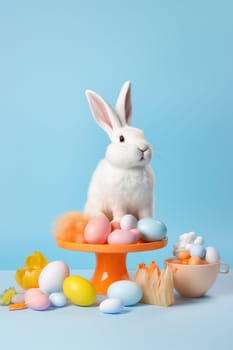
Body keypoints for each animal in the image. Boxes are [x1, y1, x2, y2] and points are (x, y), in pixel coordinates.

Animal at [83, 80, 155, 220]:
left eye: (142, 134)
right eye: (121, 139)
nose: (143, 148)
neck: (132, 169)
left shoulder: (146, 203)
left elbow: (146, 215)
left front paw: (150, 221)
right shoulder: (118, 202)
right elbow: (120, 212)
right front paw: (119, 221)